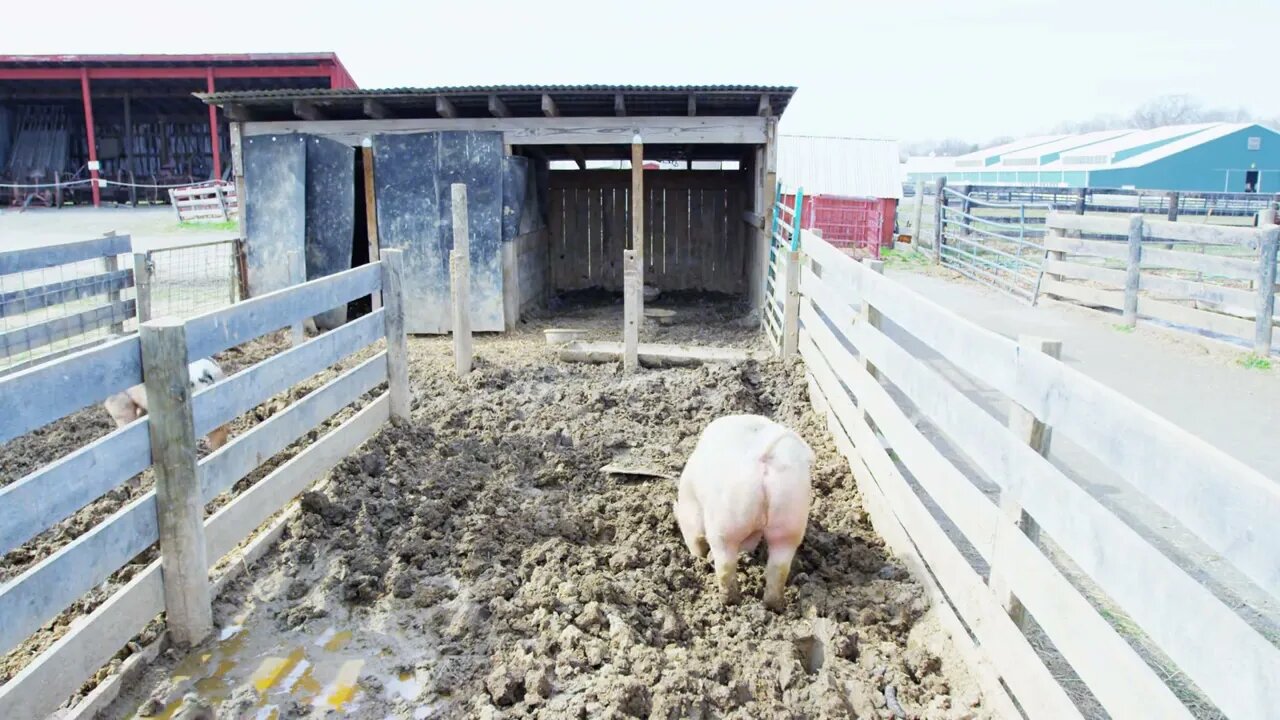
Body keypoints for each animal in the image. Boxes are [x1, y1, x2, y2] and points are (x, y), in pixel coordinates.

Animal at [675, 412, 814, 607]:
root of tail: (763, 456)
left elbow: (695, 537)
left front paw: (699, 557)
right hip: (791, 518)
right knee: (779, 567)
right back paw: (774, 606)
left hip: (725, 524)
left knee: (725, 566)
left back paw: (730, 602)